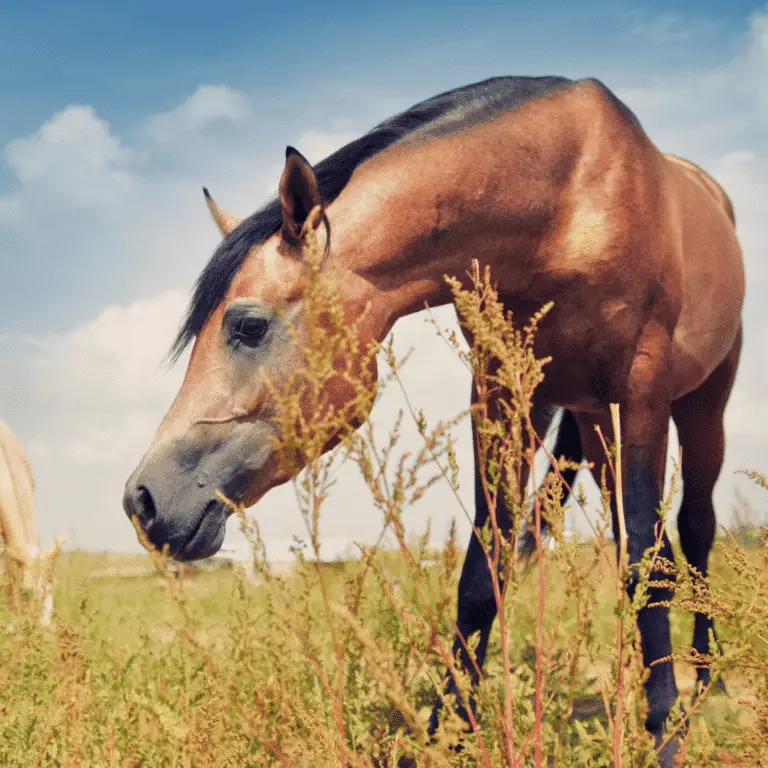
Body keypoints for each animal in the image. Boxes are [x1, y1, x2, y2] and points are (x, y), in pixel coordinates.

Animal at [124, 76, 744, 760]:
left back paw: (706, 677)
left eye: (248, 325)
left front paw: (664, 733)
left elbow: (647, 563)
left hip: (700, 403)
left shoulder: (643, 390)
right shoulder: (501, 390)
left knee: (692, 528)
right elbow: (487, 567)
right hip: (590, 417)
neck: (566, 205)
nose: (143, 501)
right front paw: (445, 733)